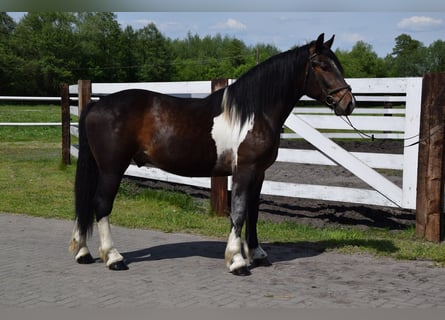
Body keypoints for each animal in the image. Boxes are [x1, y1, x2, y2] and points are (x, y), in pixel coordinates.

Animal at [68, 34, 354, 276]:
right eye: (323, 66)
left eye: (337, 64)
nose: (348, 103)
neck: (253, 113)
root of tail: (96, 105)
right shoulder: (244, 171)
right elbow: (238, 212)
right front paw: (237, 261)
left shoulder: (259, 173)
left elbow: (253, 211)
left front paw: (257, 254)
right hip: (112, 168)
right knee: (101, 204)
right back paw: (113, 258)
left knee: (87, 202)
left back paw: (83, 252)